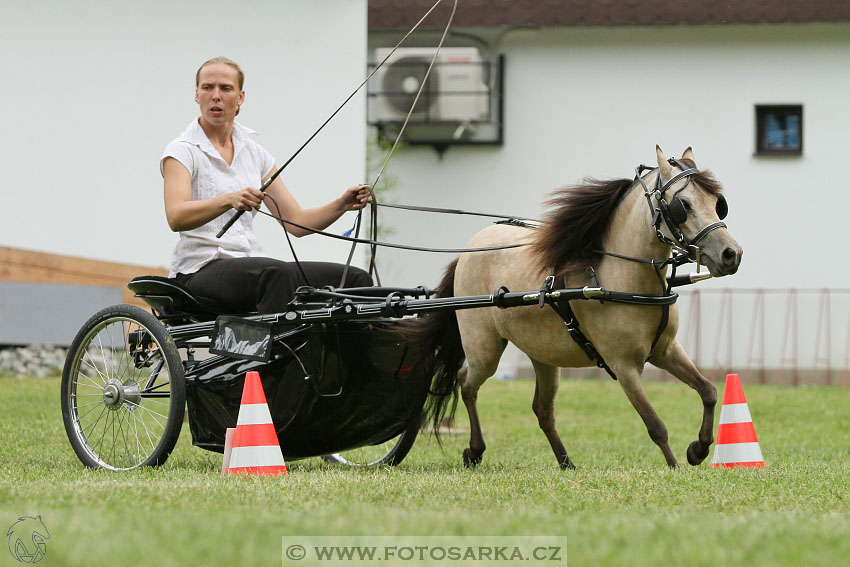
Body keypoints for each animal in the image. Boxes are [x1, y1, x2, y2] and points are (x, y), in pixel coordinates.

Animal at [414, 148, 740, 470]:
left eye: (718, 204)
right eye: (682, 205)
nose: (731, 254)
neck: (621, 276)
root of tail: (468, 251)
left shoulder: (666, 350)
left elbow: (709, 391)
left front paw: (698, 449)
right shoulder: (624, 366)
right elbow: (655, 425)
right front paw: (675, 465)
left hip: (543, 354)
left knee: (542, 410)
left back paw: (565, 462)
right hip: (484, 350)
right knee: (466, 383)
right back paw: (475, 450)